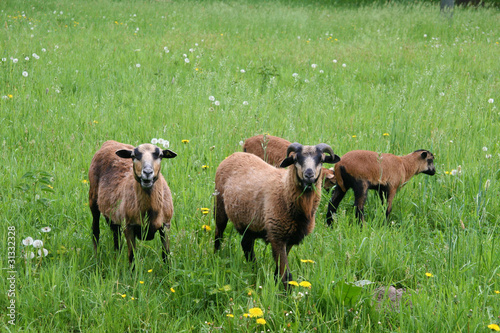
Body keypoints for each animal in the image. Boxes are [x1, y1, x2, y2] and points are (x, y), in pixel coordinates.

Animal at [213, 143, 342, 288]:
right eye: (296, 159)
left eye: (321, 159)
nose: (309, 175)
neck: (284, 189)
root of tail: (234, 155)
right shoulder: (277, 236)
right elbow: (286, 275)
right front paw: (285, 293)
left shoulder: (290, 238)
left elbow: (279, 271)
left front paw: (276, 285)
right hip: (219, 205)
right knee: (219, 233)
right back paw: (216, 257)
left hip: (248, 222)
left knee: (246, 244)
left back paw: (254, 269)